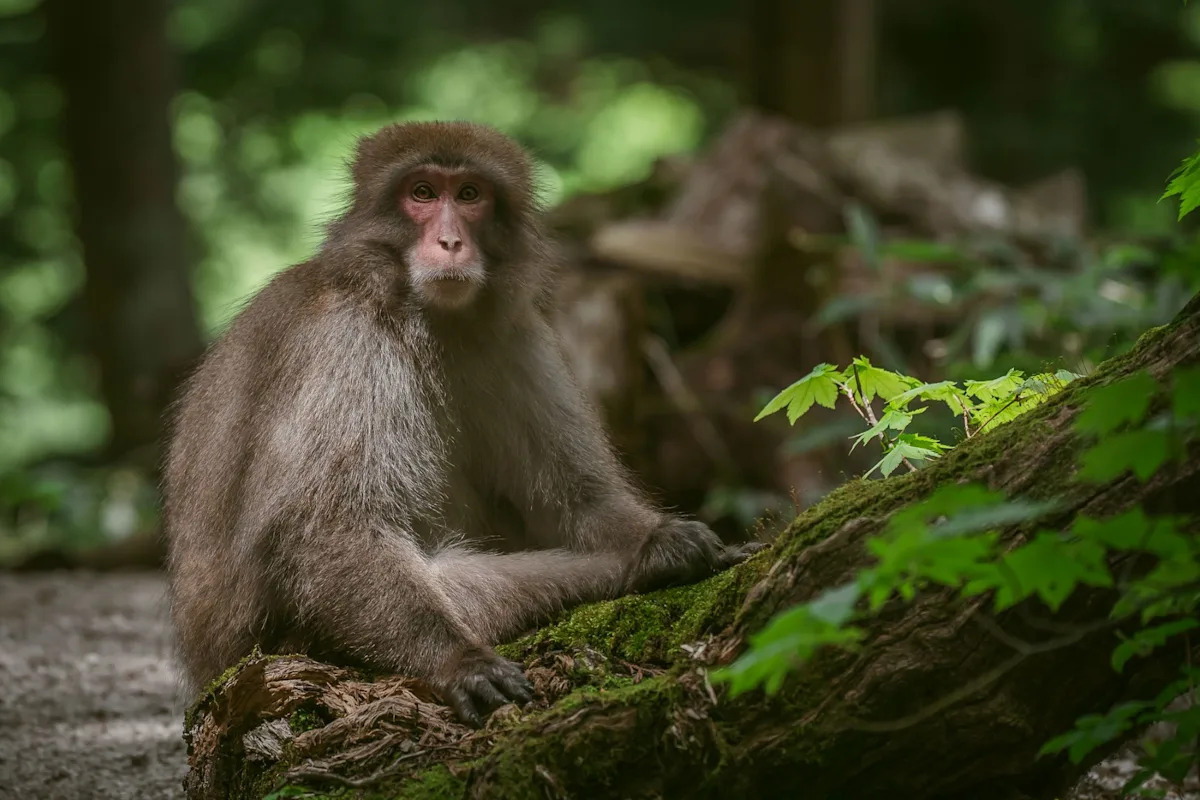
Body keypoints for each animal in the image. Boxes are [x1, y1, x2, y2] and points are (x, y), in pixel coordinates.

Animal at [163, 121, 762, 726]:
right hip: (276, 645)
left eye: (470, 195)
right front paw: (460, 659)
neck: (425, 316)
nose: (450, 241)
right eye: (423, 193)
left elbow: (573, 502)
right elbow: (326, 527)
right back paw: (617, 572)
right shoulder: (346, 342)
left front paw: (660, 540)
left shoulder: (514, 340)